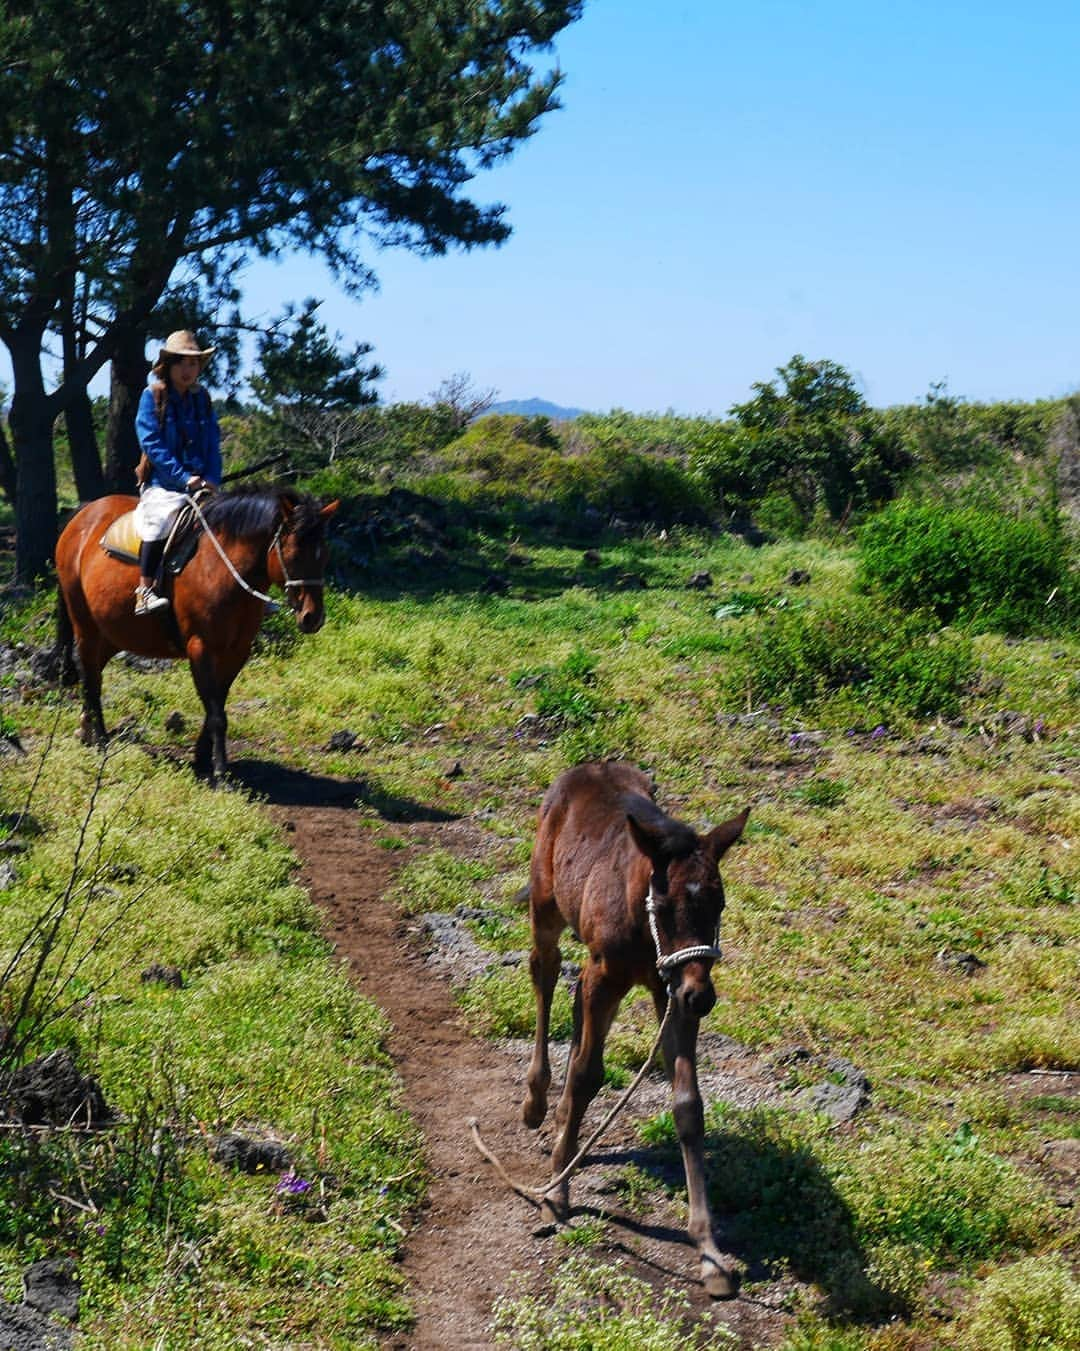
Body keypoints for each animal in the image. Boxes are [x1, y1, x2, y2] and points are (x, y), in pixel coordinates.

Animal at [54, 486, 340, 783]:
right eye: (293, 555)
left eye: (324, 556)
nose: (312, 617)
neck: (221, 569)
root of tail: (83, 515)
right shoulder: (201, 647)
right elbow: (216, 713)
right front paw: (221, 772)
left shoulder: (237, 651)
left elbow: (217, 705)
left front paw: (202, 758)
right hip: (85, 625)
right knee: (90, 676)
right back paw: (100, 739)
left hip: (111, 633)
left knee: (93, 671)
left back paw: (86, 730)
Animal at [527, 761, 751, 1296]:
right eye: (664, 906)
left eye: (720, 904)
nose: (704, 997)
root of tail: (583, 767)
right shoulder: (608, 974)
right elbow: (588, 1073)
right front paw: (556, 1194)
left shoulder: (671, 989)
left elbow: (688, 1103)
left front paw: (709, 1251)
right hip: (547, 906)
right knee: (545, 971)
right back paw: (538, 1100)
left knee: (573, 1001)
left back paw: (564, 1129)